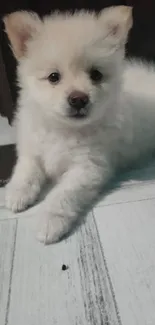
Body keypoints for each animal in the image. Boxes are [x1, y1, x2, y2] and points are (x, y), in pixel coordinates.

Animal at [3, 6, 155, 242]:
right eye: (53, 77)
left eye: (96, 74)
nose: (78, 99)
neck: (63, 129)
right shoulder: (33, 149)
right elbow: (26, 170)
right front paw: (17, 193)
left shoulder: (88, 167)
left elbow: (63, 194)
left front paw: (50, 220)